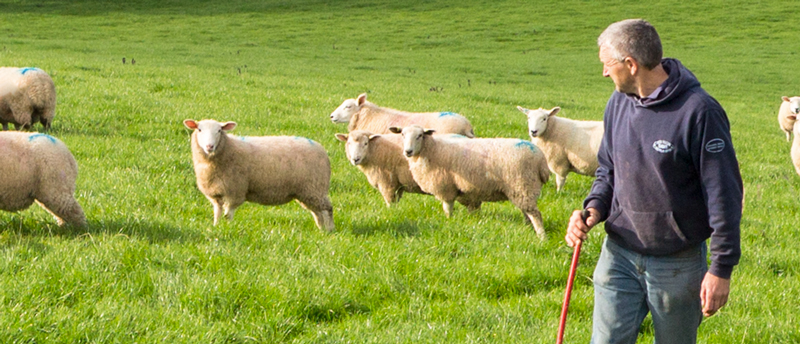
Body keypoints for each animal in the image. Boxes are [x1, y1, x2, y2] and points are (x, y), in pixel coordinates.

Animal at [184, 119, 334, 231]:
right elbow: (217, 213)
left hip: (315, 188)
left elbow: (228, 214)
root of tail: (322, 150)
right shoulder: (216, 194)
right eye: (199, 130)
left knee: (327, 209)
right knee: (317, 212)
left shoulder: (235, 192)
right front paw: (216, 227)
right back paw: (321, 229)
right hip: (308, 192)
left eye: (219, 131)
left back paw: (329, 230)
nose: (209, 146)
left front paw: (227, 228)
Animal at [390, 125, 552, 241]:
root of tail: (541, 160)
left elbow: (448, 208)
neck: (431, 150)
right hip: (523, 190)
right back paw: (528, 229)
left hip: (524, 185)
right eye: (402, 134)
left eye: (420, 135)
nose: (408, 151)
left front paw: (449, 221)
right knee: (527, 212)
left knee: (535, 214)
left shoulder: (446, 187)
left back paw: (542, 237)